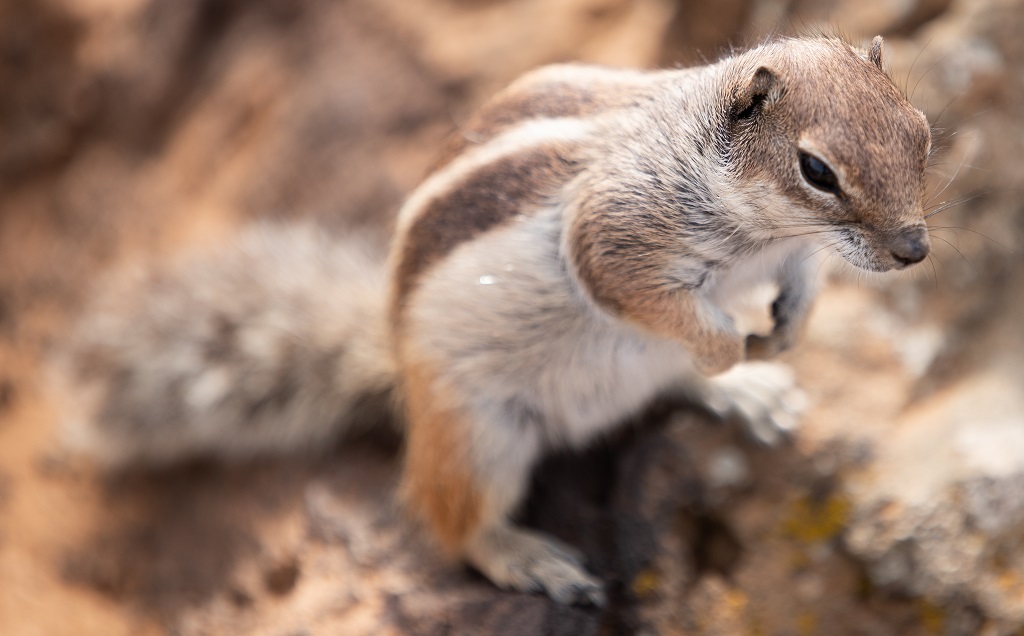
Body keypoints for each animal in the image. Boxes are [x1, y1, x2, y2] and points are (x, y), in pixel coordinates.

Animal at [56, 35, 937, 606]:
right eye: (816, 170)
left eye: (922, 131)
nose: (915, 249)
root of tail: (400, 374)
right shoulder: (615, 237)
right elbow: (649, 299)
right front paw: (730, 345)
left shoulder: (789, 253)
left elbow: (806, 277)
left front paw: (781, 334)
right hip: (479, 435)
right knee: (448, 520)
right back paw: (526, 555)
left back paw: (748, 393)